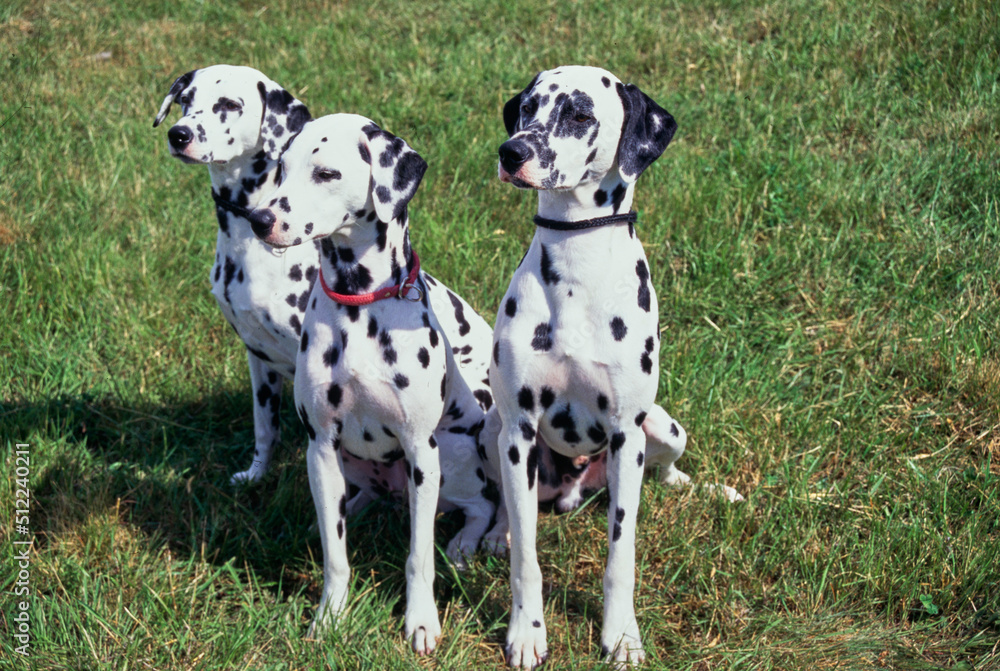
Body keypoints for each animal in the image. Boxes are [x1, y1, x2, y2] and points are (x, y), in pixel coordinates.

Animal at [246, 113, 496, 652]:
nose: (259, 219)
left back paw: (465, 544)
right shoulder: (321, 446)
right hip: (346, 465)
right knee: (355, 501)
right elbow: (336, 557)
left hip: (453, 454)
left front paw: (421, 621)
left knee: (480, 505)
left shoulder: (421, 451)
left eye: (326, 173)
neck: (358, 307)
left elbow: (418, 557)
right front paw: (329, 616)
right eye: (281, 169)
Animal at [490, 65, 712, 668]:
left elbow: (621, 557)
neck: (576, 267)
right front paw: (527, 632)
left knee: (665, 471)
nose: (512, 152)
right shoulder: (518, 431)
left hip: (663, 427)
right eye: (528, 108)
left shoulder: (625, 434)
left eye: (580, 114)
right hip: (493, 432)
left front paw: (622, 636)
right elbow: (527, 560)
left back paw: (703, 489)